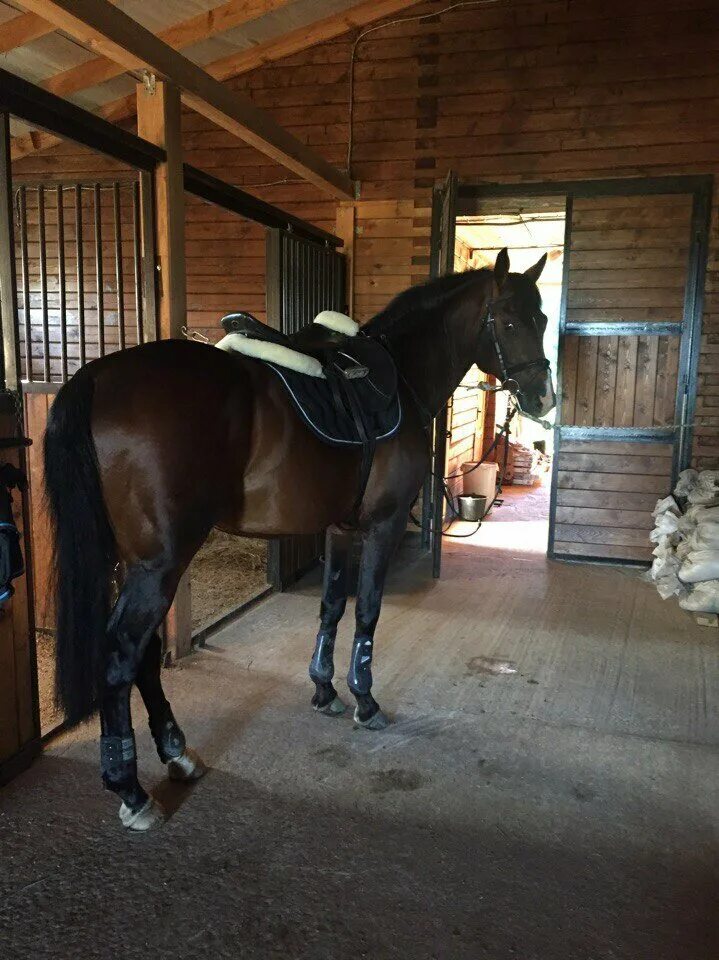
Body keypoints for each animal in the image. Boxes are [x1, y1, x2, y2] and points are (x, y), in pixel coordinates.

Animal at [42, 248, 556, 824]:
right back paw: (130, 791)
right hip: (159, 565)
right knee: (121, 658)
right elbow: (368, 609)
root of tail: (97, 376)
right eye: (509, 322)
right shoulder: (381, 525)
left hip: (133, 562)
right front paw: (365, 703)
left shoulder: (339, 527)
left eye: (542, 320)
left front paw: (324, 690)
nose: (543, 398)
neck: (400, 378)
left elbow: (331, 606)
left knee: (144, 655)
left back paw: (177, 754)